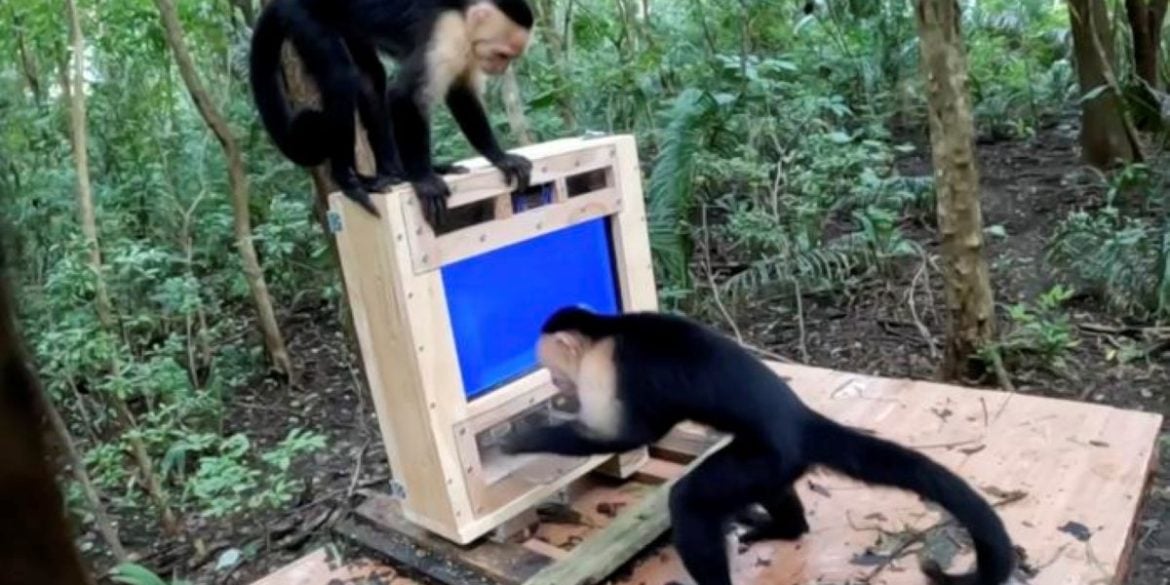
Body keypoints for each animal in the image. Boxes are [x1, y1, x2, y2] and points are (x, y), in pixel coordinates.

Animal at [249, 0, 534, 225]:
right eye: (503, 54)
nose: (501, 68)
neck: (463, 16)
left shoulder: (467, 48)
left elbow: (461, 93)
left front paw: (500, 157)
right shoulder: (447, 34)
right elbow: (405, 97)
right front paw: (424, 180)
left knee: (371, 78)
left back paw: (394, 172)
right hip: (303, 14)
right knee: (341, 78)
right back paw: (349, 180)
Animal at [502, 306, 1017, 585]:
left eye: (553, 370)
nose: (557, 385)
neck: (608, 329)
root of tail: (800, 418)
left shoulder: (606, 371)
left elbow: (630, 436)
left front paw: (520, 439)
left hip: (768, 455)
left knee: (690, 499)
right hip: (776, 460)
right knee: (770, 489)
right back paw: (785, 527)